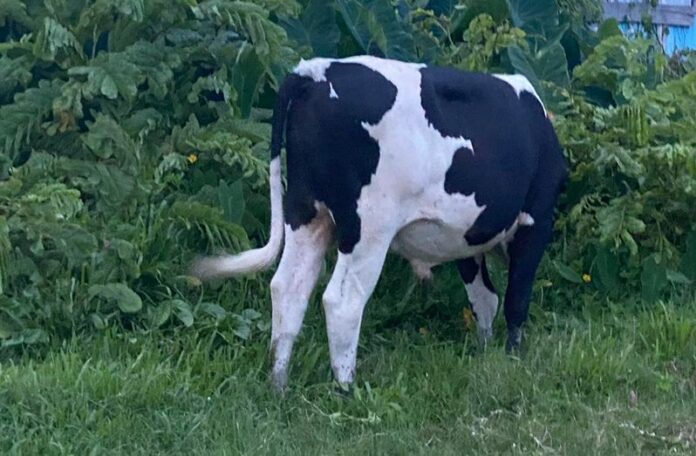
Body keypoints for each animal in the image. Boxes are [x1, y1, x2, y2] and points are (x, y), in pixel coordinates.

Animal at [191, 55, 568, 391]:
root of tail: (315, 70)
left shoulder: (466, 237)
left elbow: (483, 297)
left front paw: (487, 353)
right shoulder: (536, 219)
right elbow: (515, 298)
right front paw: (512, 360)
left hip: (305, 212)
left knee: (288, 288)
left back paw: (278, 383)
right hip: (369, 227)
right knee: (343, 301)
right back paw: (346, 387)